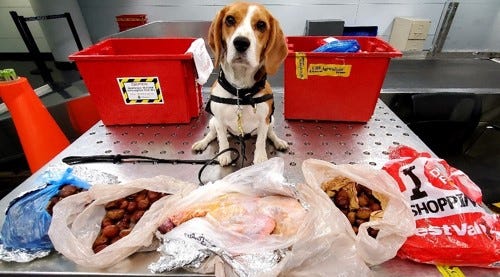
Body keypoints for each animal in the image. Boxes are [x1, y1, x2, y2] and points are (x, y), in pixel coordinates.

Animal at [192, 2, 290, 165]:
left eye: (261, 25)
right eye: (230, 20)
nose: (241, 42)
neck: (241, 90)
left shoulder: (264, 121)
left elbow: (261, 141)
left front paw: (260, 158)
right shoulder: (219, 121)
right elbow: (222, 140)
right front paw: (224, 155)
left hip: (271, 120)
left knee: (270, 134)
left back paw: (278, 142)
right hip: (212, 121)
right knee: (212, 135)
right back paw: (202, 143)